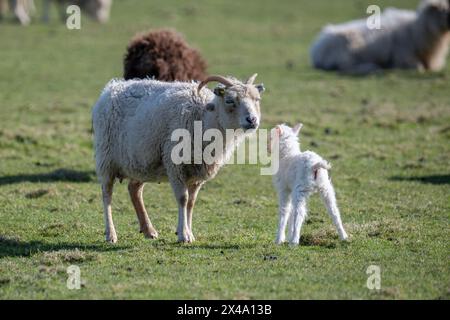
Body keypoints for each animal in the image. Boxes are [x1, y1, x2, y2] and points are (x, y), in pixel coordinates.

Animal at [92, 74, 266, 242]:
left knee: (134, 190)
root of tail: (112, 87)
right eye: (229, 100)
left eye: (257, 99)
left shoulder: (197, 173)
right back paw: (111, 234)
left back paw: (149, 230)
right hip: (106, 158)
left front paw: (189, 233)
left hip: (140, 162)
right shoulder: (176, 166)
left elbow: (191, 203)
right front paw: (184, 235)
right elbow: (183, 199)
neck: (204, 119)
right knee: (107, 195)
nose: (252, 120)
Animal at [310, 0, 450, 75]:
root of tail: (315, 48)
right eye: (444, 10)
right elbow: (419, 68)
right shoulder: (403, 58)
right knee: (346, 68)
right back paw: (373, 68)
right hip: (347, 50)